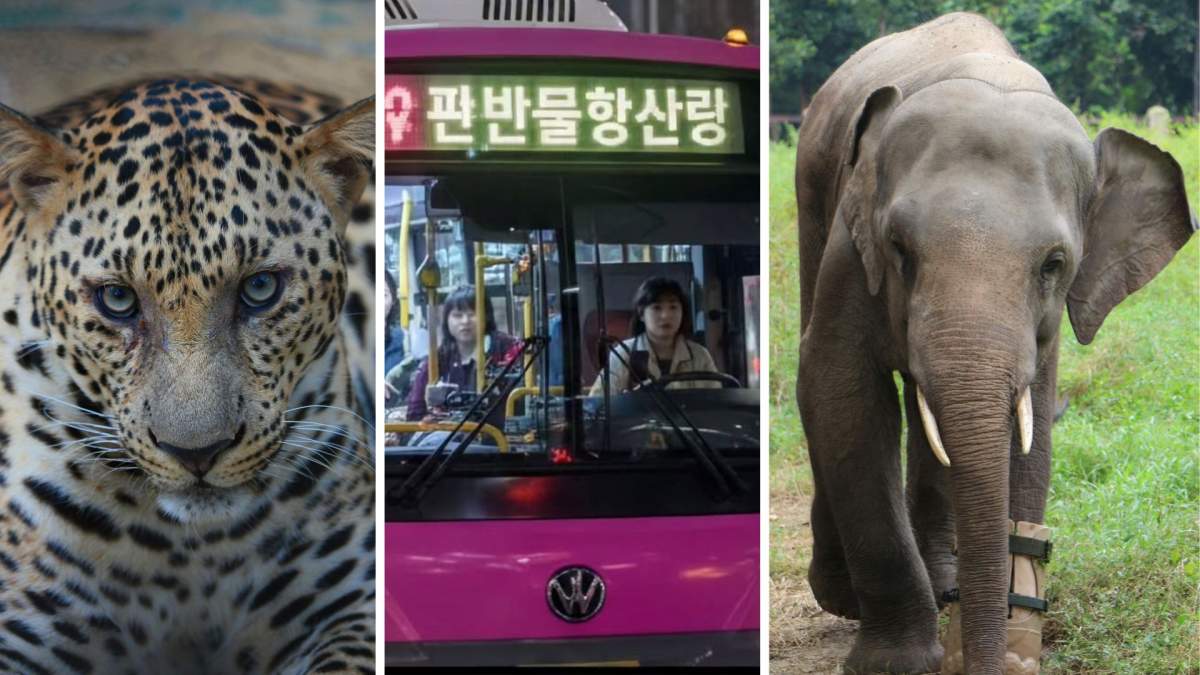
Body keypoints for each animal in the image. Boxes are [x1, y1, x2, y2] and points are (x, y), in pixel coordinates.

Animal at [793, 12, 1194, 675]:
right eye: (899, 248)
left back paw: (945, 582)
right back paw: (845, 597)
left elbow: (1032, 428)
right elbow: (838, 389)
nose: (985, 659)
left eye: (1054, 265)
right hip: (811, 194)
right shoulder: (854, 249)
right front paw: (897, 662)